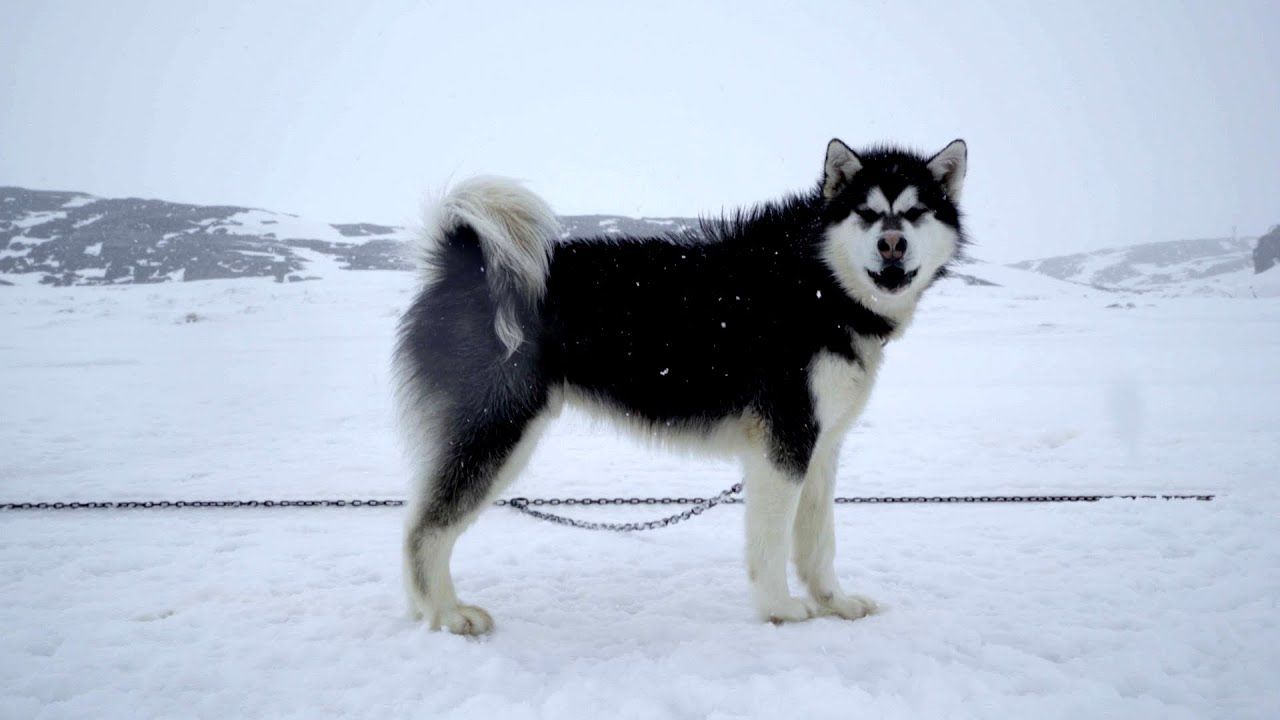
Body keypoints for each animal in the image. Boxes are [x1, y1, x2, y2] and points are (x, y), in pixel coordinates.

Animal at [394, 137, 962, 630]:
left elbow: (818, 543)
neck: (819, 281)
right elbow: (772, 541)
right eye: (866, 212)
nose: (892, 244)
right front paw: (780, 609)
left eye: (915, 213)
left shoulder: (819, 447)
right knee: (424, 527)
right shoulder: (784, 442)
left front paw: (834, 603)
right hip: (498, 429)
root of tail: (464, 263)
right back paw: (447, 615)